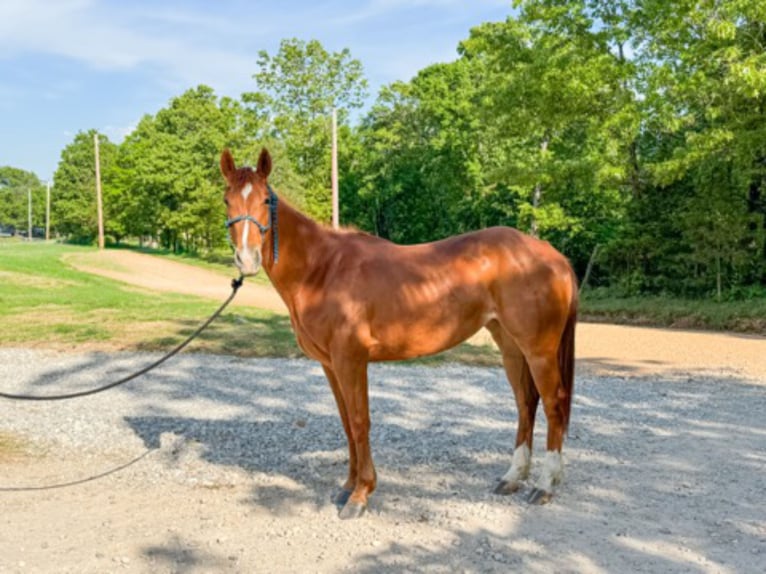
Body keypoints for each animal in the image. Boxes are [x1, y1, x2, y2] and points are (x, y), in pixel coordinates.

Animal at [220, 148, 578, 519]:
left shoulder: (351, 359)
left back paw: (544, 485)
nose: (246, 259)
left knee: (553, 403)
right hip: (510, 347)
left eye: (264, 199)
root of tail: (552, 254)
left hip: (539, 350)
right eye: (226, 199)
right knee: (526, 404)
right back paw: (512, 477)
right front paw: (347, 486)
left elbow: (360, 421)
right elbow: (346, 423)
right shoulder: (330, 364)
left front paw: (360, 494)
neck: (322, 269)